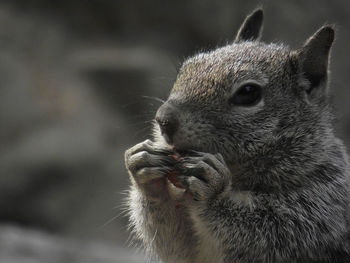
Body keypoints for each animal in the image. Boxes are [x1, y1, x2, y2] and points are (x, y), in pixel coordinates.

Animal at [124, 8, 348, 263]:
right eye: (186, 68)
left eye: (248, 93)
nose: (163, 120)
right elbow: (178, 246)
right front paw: (142, 169)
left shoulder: (319, 212)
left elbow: (266, 232)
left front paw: (212, 191)